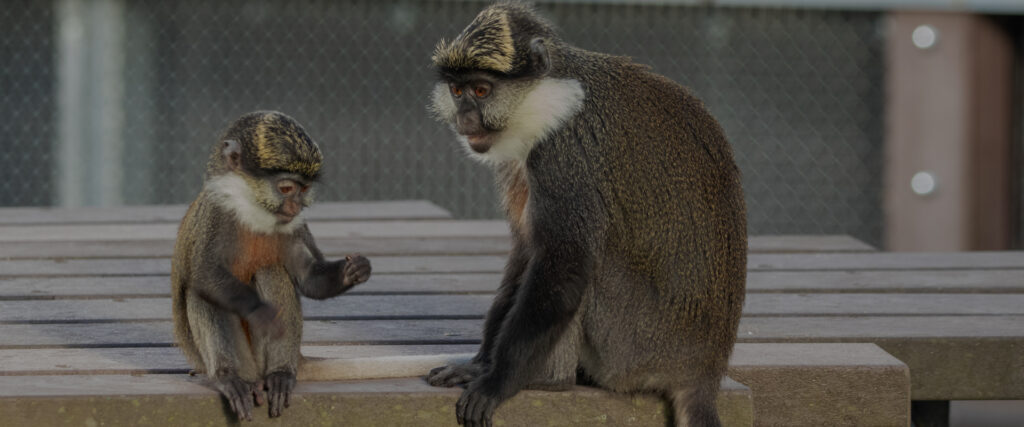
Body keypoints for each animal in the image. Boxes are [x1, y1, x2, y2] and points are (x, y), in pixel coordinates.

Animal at [171, 111, 371, 421]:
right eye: (286, 188)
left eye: (304, 189)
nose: (295, 206)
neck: (254, 209)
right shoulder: (215, 214)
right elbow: (205, 273)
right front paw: (260, 311)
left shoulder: (295, 226)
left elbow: (310, 278)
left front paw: (352, 271)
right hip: (240, 361)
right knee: (202, 292)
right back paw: (229, 377)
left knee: (271, 270)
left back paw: (280, 374)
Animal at [424, 2, 747, 427]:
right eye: (457, 90)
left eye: (481, 90)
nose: (464, 119)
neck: (551, 97)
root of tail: (705, 370)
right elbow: (526, 251)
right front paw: (479, 365)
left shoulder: (563, 154)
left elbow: (564, 262)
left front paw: (496, 380)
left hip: (634, 346)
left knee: (587, 268)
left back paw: (551, 381)